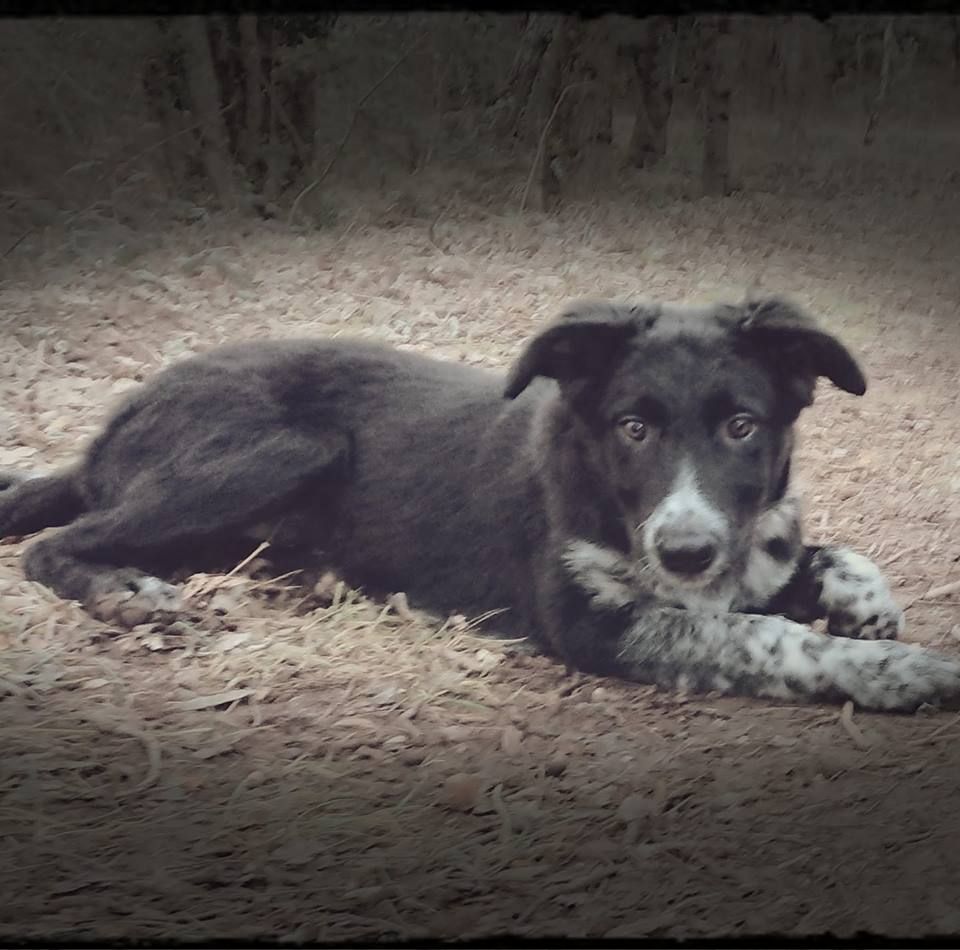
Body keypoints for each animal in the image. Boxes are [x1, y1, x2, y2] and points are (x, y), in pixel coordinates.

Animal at [1, 298, 960, 712]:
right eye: (632, 427)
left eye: (741, 425)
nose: (685, 553)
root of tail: (111, 427)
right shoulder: (592, 621)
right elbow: (764, 638)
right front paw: (905, 672)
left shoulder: (743, 551)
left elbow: (828, 559)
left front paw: (869, 611)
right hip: (287, 448)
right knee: (55, 542)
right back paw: (125, 594)